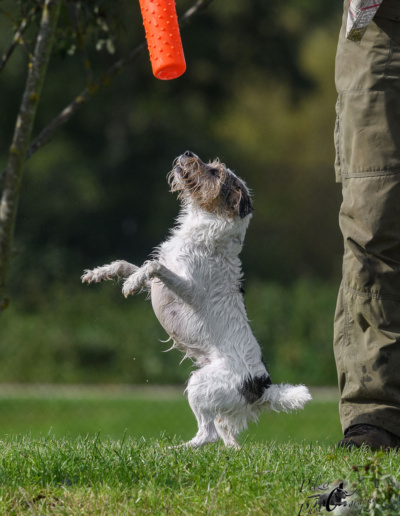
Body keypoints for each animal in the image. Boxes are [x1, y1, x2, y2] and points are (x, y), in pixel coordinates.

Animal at [82, 150, 312, 448]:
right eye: (213, 165)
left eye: (215, 172)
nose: (187, 153)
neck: (208, 227)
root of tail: (263, 387)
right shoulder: (159, 282)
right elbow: (128, 264)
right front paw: (98, 273)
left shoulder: (188, 288)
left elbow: (153, 265)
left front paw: (131, 283)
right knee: (225, 434)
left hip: (198, 385)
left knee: (207, 433)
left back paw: (172, 450)